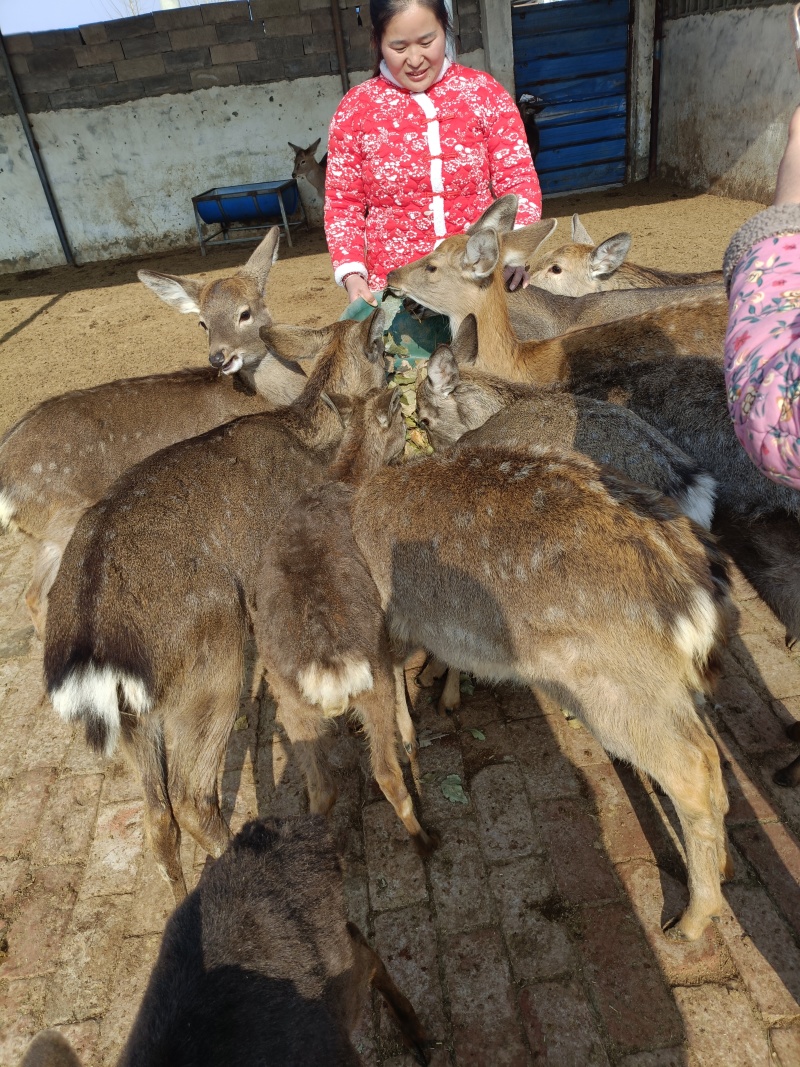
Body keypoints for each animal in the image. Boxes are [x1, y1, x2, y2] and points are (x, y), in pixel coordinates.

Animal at [0, 228, 310, 638]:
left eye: (245, 312)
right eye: (202, 323)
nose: (219, 357)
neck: (268, 397)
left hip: (48, 533)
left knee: (33, 595)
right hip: (64, 515)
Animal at [44, 311, 387, 902]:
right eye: (383, 353)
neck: (316, 447)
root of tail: (93, 649)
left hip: (137, 718)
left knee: (157, 814)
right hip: (212, 661)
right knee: (191, 798)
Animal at [255, 387, 437, 857]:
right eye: (400, 419)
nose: (412, 434)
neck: (346, 479)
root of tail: (329, 667)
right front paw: (410, 734)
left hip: (290, 703)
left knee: (322, 789)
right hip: (369, 684)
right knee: (386, 774)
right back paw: (425, 841)